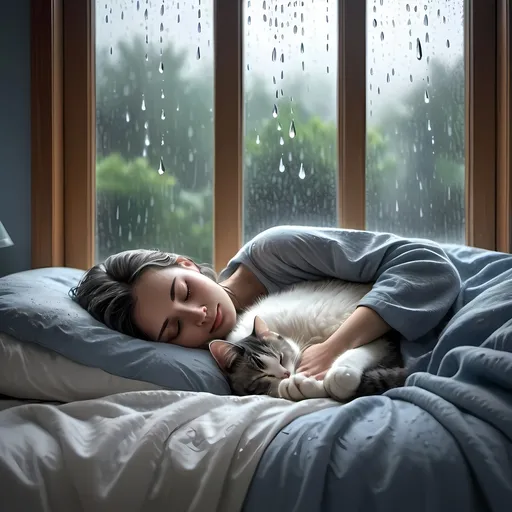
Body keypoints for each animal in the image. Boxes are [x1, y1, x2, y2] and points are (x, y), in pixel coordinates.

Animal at [209, 278, 408, 402]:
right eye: (263, 375)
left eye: (281, 358)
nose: (285, 374)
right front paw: (302, 386)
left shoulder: (379, 340)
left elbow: (350, 355)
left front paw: (339, 377)